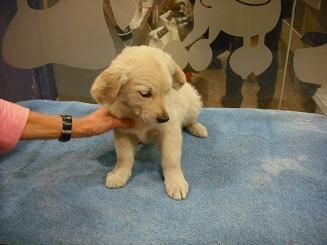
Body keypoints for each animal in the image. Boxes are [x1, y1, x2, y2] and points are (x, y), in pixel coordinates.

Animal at [89, 45, 208, 200]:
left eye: (167, 91)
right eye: (145, 94)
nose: (164, 118)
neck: (139, 117)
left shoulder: (170, 130)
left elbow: (171, 159)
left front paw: (175, 182)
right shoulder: (122, 131)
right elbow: (124, 156)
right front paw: (119, 174)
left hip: (192, 103)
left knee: (190, 120)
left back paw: (198, 128)